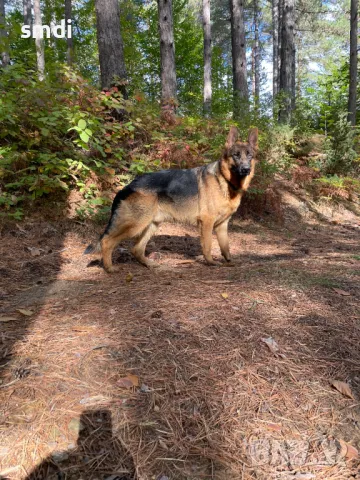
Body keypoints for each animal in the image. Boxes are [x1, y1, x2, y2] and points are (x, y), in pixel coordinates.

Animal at [85, 125, 256, 272]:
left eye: (249, 155)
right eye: (236, 155)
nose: (246, 169)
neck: (225, 181)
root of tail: (130, 184)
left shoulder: (222, 225)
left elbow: (226, 247)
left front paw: (230, 262)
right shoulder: (207, 222)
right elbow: (207, 245)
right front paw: (210, 262)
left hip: (151, 224)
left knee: (136, 249)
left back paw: (149, 264)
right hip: (135, 224)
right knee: (107, 241)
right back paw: (109, 268)